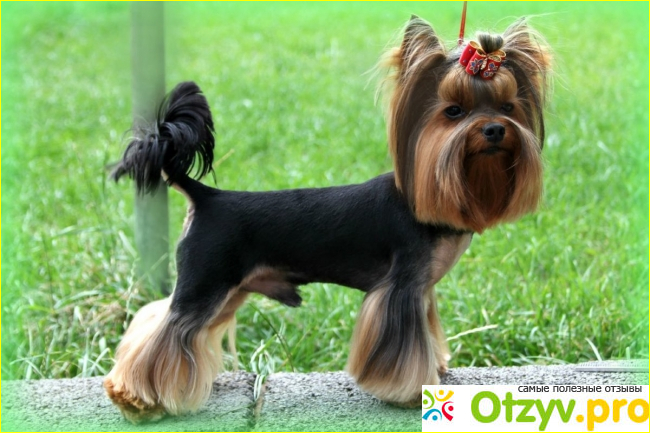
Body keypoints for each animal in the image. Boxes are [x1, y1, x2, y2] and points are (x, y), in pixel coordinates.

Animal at [103, 15, 551, 423]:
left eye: (508, 107)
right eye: (454, 111)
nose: (494, 129)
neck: (429, 198)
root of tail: (206, 196)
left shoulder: (422, 290)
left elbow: (428, 331)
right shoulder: (401, 287)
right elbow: (404, 345)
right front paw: (410, 392)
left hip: (226, 291)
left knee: (159, 320)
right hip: (206, 281)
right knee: (167, 328)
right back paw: (134, 398)